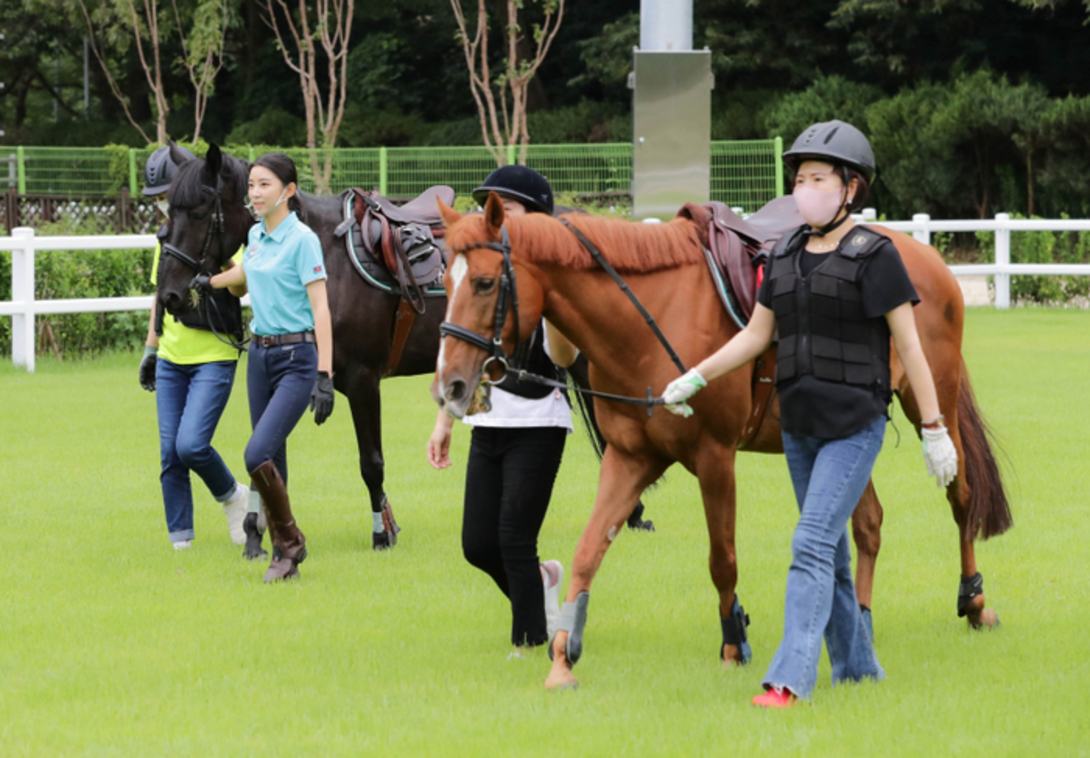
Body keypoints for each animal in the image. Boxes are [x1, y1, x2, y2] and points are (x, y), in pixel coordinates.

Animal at [433, 193, 1011, 689]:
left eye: (483, 283)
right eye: (444, 280)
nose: (450, 387)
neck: (650, 317)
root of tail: (925, 256)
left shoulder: (714, 458)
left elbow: (722, 558)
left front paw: (734, 643)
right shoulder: (630, 459)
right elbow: (586, 552)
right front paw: (562, 655)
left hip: (932, 401)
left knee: (960, 498)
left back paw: (975, 601)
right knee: (868, 523)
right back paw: (862, 622)